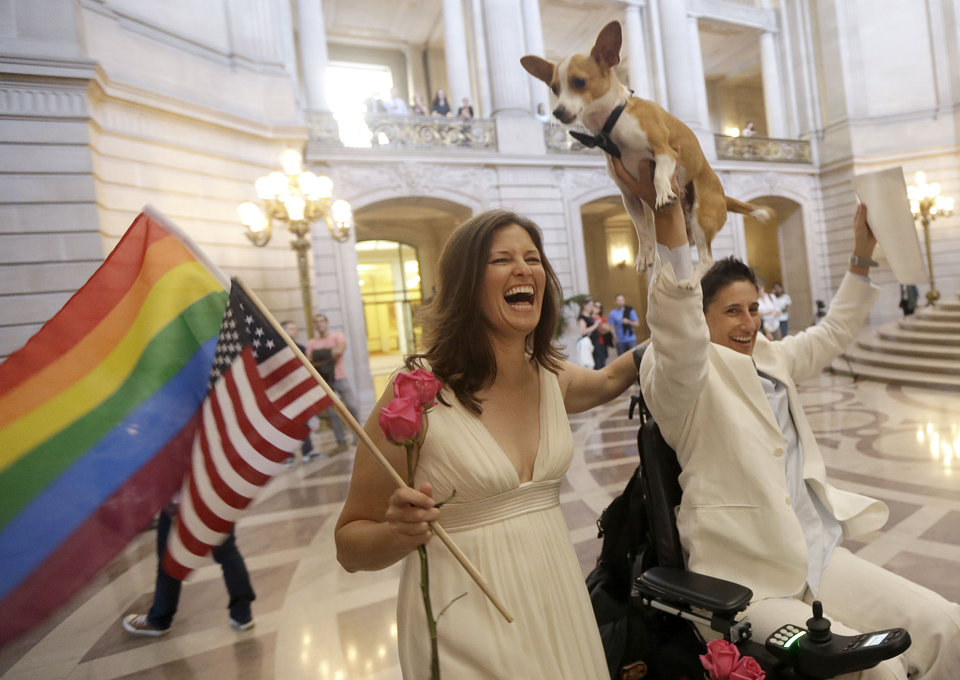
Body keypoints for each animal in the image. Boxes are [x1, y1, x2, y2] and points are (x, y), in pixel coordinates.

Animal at [520, 22, 768, 274]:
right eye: (554, 89)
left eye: (579, 82)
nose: (557, 112)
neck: (613, 121)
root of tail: (723, 197)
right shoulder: (629, 196)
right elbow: (642, 230)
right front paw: (644, 255)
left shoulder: (665, 153)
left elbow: (658, 176)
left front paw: (662, 194)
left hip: (701, 215)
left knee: (707, 259)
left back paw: (691, 279)